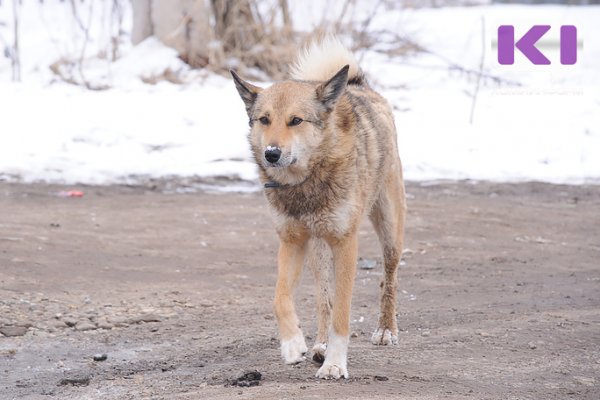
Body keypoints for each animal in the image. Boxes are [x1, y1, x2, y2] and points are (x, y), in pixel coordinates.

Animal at [231, 36, 408, 380]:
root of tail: (357, 85)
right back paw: (320, 345)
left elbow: (343, 313)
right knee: (323, 300)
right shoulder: (292, 242)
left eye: (296, 121)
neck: (305, 183)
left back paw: (385, 330)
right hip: (318, 253)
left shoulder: (345, 243)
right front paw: (292, 345)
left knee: (388, 278)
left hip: (390, 230)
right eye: (264, 119)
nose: (271, 153)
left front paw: (336, 365)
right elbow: (281, 298)